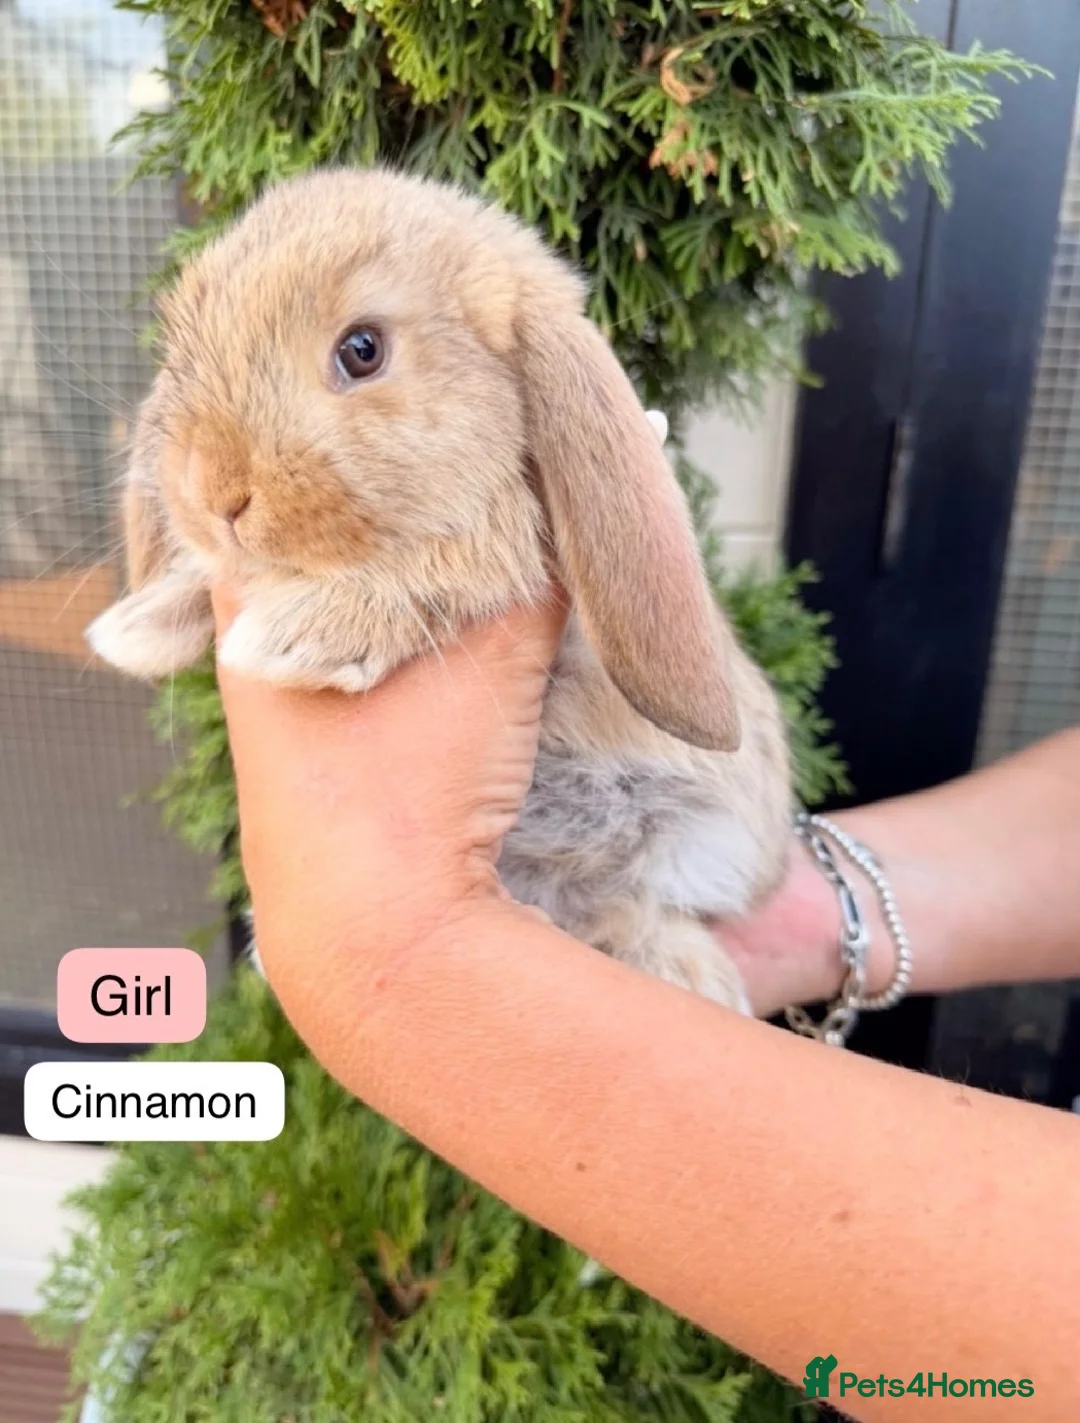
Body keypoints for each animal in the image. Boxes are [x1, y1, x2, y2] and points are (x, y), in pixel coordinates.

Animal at [87, 168, 793, 1015]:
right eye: (183, 347)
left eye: (362, 350)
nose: (214, 492)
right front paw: (140, 625)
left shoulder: (514, 547)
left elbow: (466, 558)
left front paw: (297, 633)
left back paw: (697, 978)